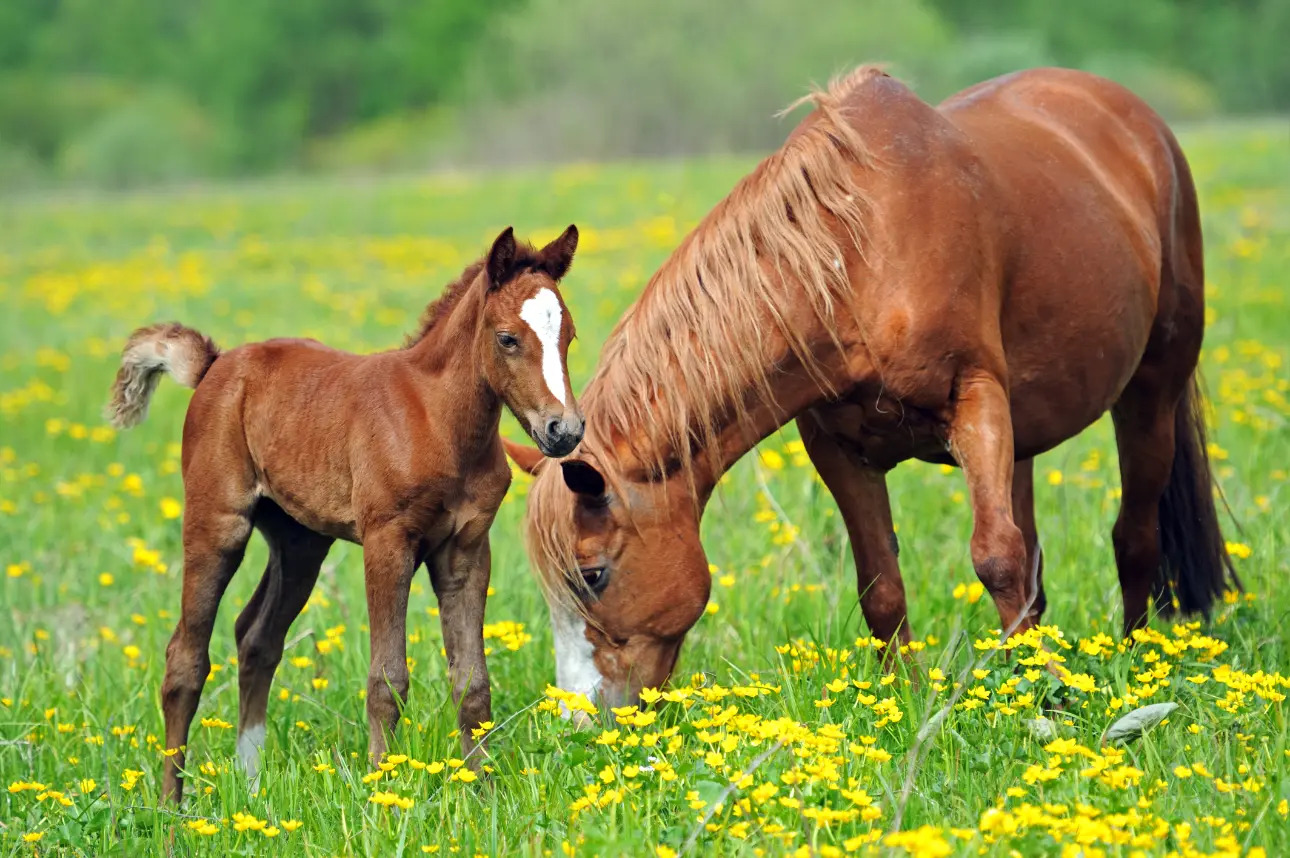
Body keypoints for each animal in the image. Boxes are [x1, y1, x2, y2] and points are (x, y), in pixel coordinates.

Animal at [110, 224, 585, 799]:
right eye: (508, 338)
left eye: (569, 336)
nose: (564, 431)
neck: (437, 421)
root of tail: (216, 365)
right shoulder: (387, 541)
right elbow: (387, 678)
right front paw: (383, 785)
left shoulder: (467, 549)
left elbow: (473, 681)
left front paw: (485, 791)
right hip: (217, 522)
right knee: (186, 657)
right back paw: (170, 805)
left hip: (300, 543)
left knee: (257, 638)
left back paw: (250, 783)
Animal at [505, 68, 1238, 707]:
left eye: (592, 575)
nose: (582, 716)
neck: (862, 255)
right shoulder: (839, 447)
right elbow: (882, 586)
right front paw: (905, 700)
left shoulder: (975, 401)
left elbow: (995, 557)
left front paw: (1049, 698)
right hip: (1026, 432)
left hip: (1151, 392)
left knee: (1132, 536)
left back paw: (1135, 660)